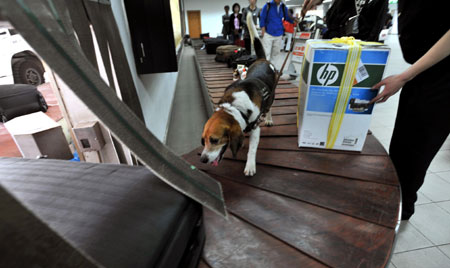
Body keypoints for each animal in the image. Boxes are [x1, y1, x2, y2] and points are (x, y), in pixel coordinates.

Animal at [201, 12, 278, 176]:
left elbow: (252, 150)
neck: (235, 107)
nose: (202, 160)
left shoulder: (255, 128)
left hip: (272, 96)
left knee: (269, 108)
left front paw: (250, 166)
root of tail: (262, 59)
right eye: (203, 140)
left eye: (215, 140)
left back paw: (269, 119)